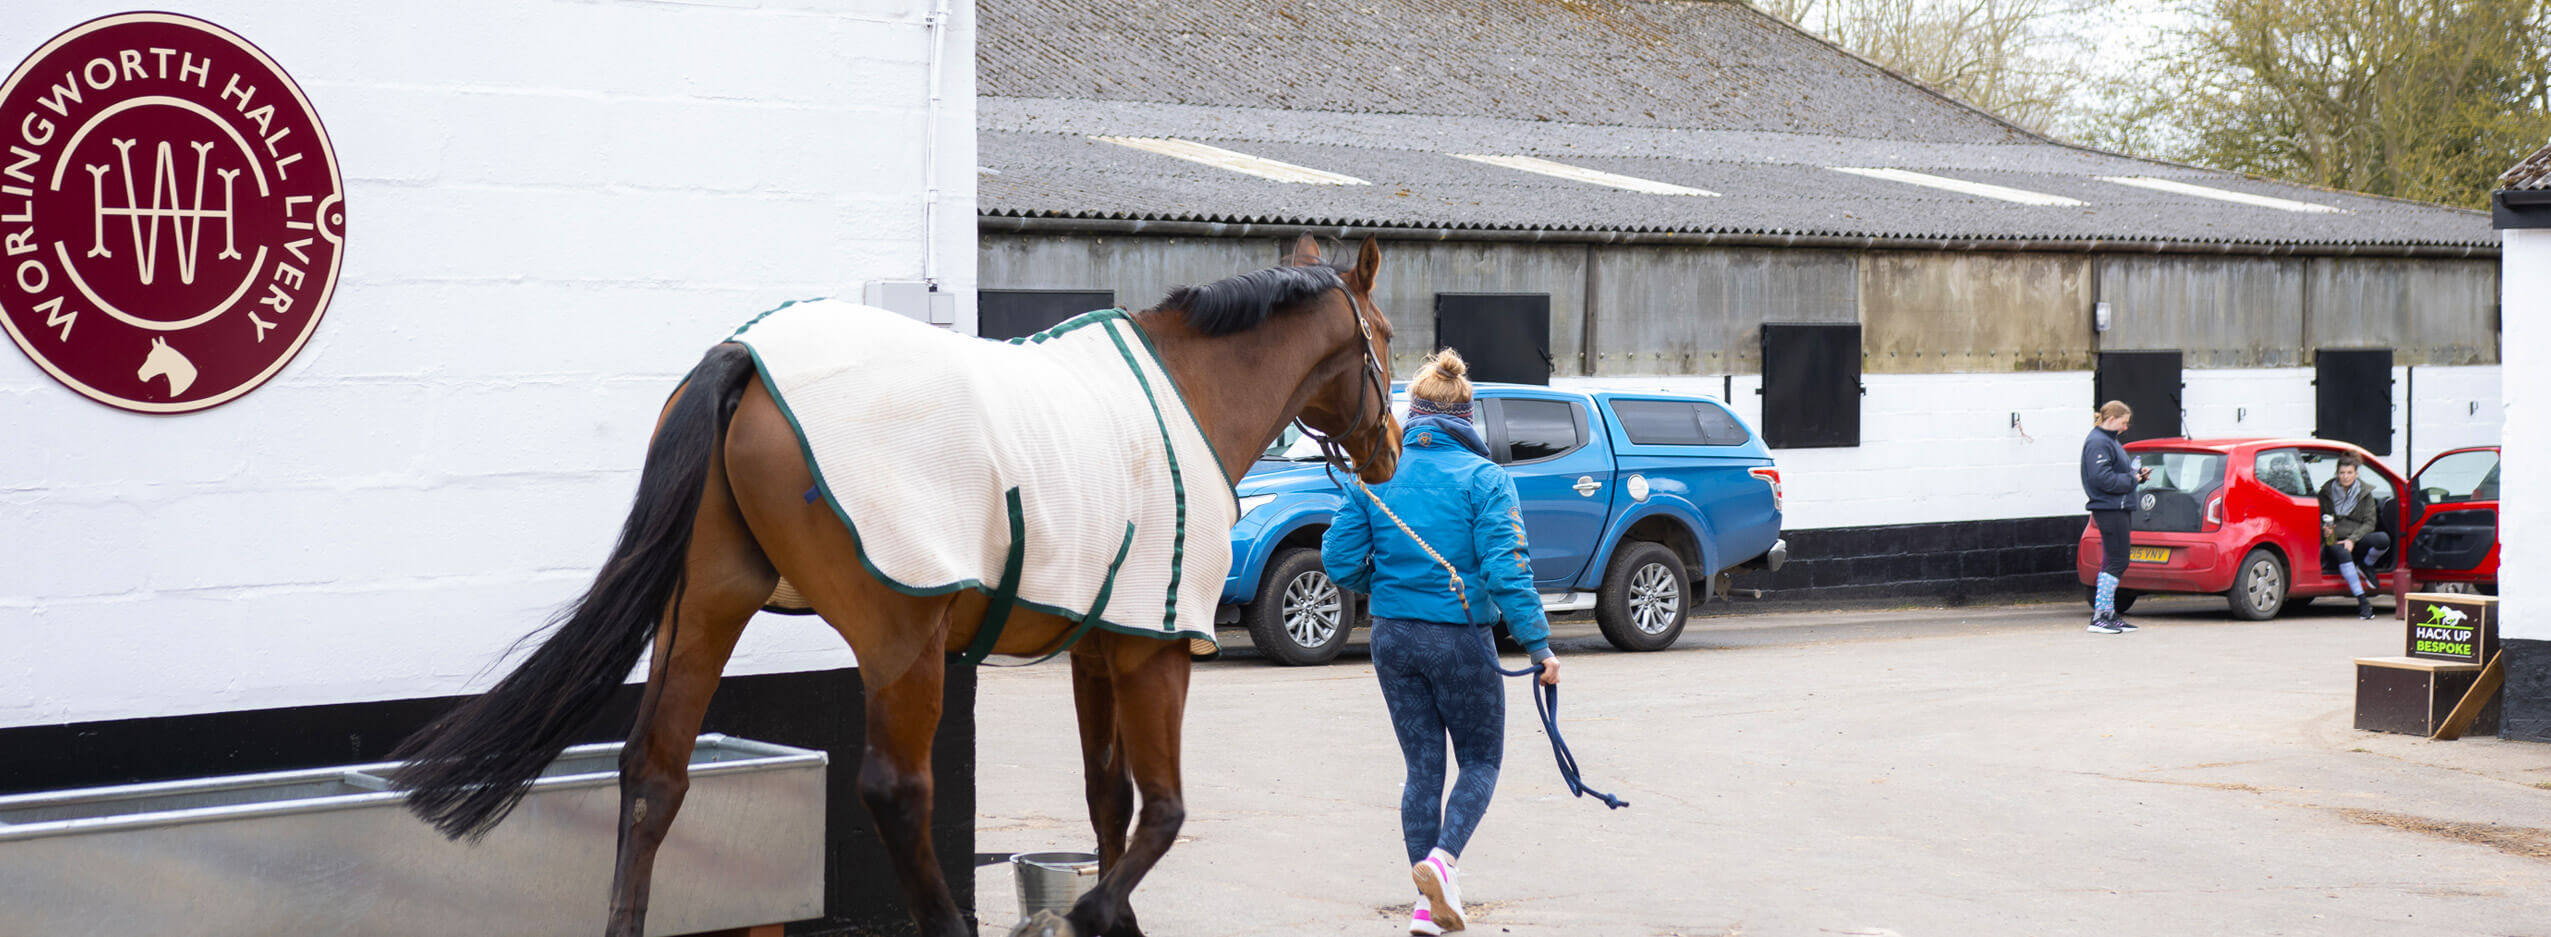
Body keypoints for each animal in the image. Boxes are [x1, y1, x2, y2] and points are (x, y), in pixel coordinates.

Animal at [387, 236, 1408, 937]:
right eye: (1385, 337)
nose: (1390, 452)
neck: (1186, 394)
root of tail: (744, 357)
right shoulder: (1153, 650)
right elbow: (1161, 810)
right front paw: (1084, 916)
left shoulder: (1098, 647)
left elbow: (1105, 799)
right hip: (902, 642)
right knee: (896, 789)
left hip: (703, 607)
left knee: (654, 773)